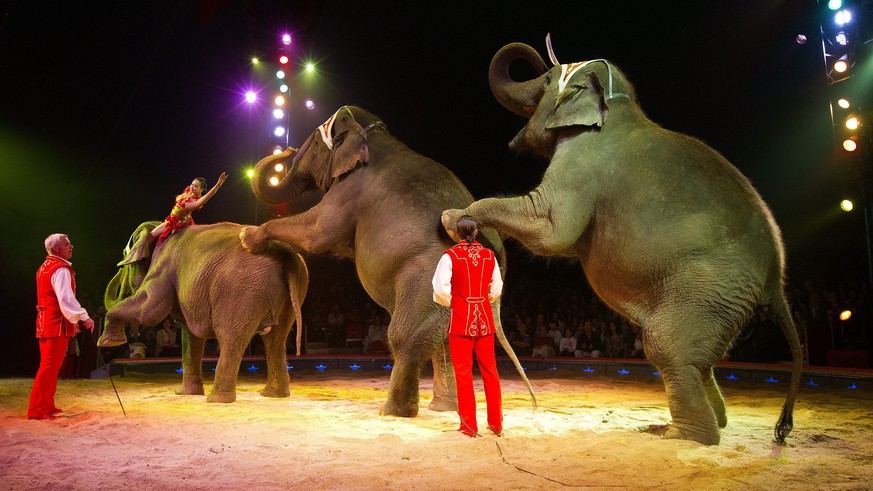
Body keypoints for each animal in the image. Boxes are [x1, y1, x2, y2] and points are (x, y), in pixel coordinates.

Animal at [97, 223, 308, 404]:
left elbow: (149, 310)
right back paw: (273, 395)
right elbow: (190, 335)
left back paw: (217, 400)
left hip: (241, 291)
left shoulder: (162, 269)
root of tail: (286, 253)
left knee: (232, 338)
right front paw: (184, 393)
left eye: (124, 264)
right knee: (275, 340)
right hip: (293, 291)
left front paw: (108, 342)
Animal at [237, 105, 532, 418]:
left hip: (424, 279)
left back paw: (393, 411)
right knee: (446, 342)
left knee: (404, 336)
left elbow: (318, 231)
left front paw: (247, 236)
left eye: (315, 145)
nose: (288, 149)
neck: (373, 133)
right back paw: (444, 408)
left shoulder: (350, 189)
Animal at [442, 38, 804, 446]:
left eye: (548, 79)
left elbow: (551, 228)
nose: (540, 60)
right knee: (699, 361)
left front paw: (454, 218)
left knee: (666, 347)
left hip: (709, 287)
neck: (618, 109)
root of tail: (776, 281)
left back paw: (678, 435)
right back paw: (706, 422)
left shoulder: (583, 161)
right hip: (721, 303)